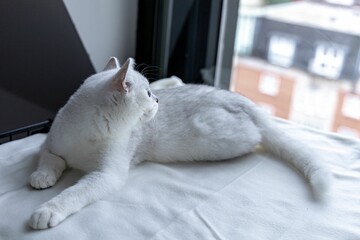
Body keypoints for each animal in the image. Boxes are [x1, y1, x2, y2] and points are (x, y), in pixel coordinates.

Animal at [28, 56, 332, 229]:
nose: (158, 98)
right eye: (148, 93)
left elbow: (73, 193)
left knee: (257, 136)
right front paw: (41, 178)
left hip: (219, 138)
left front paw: (47, 211)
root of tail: (239, 98)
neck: (86, 130)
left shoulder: (106, 175)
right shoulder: (50, 145)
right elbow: (50, 161)